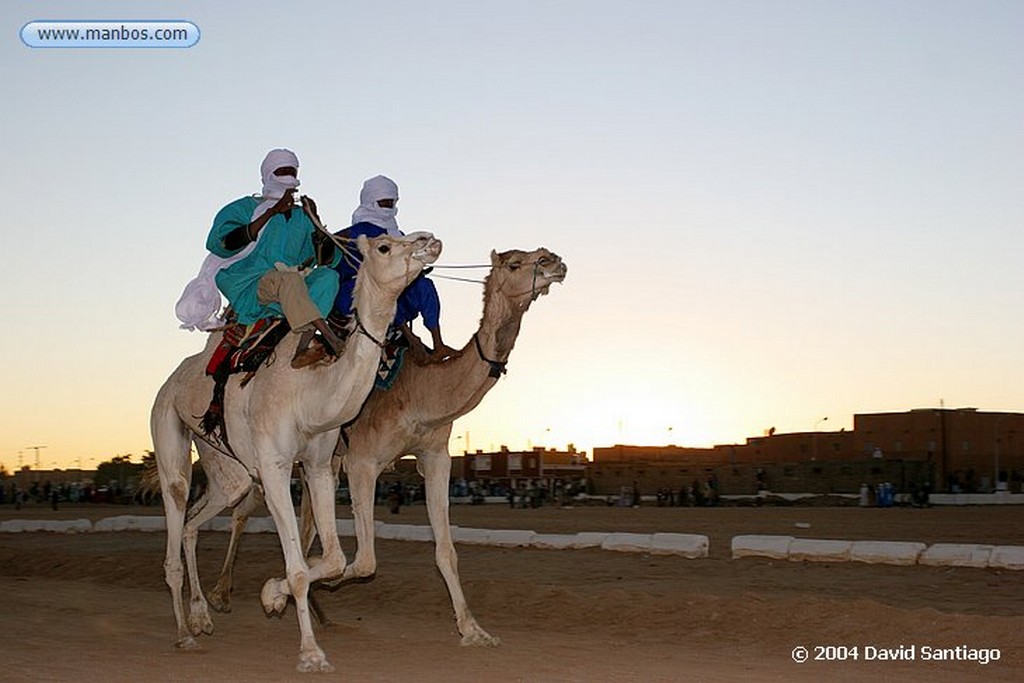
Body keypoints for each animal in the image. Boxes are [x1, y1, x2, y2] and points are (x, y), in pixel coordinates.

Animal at [150, 231, 440, 671]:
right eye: (386, 246)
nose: (430, 240)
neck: (309, 395)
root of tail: (173, 379)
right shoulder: (274, 466)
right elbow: (301, 568)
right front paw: (311, 652)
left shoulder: (319, 465)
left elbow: (334, 559)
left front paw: (271, 594)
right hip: (166, 421)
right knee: (178, 497)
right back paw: (184, 633)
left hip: (225, 463)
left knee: (197, 518)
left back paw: (201, 616)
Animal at [200, 246, 569, 647]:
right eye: (515, 263)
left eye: (538, 253)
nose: (553, 260)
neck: (421, 389)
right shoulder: (362, 460)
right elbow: (364, 561)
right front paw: (279, 592)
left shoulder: (435, 455)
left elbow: (445, 551)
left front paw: (473, 629)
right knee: (241, 510)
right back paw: (221, 596)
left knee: (297, 522)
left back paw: (309, 609)